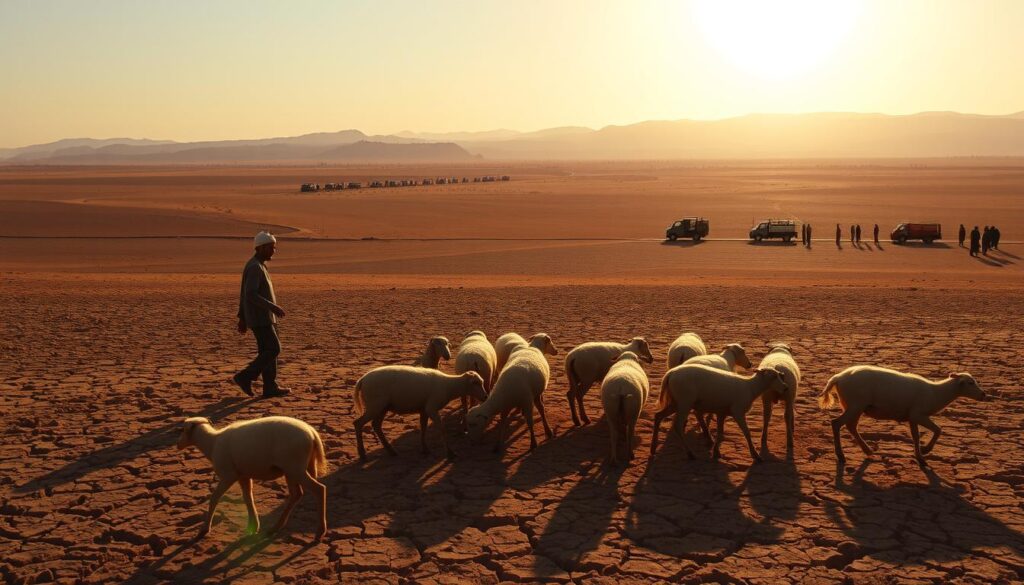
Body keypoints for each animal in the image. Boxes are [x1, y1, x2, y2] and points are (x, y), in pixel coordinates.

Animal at [176, 413, 325, 540]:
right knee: (296, 494)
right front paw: (253, 527)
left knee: (319, 489)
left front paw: (204, 529)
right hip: (294, 469)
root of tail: (311, 432)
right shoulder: (243, 476)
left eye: (182, 430)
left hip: (295, 468)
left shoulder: (229, 475)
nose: (177, 445)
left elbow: (214, 498)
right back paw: (275, 528)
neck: (211, 443)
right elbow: (248, 498)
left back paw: (319, 532)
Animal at [354, 366, 485, 463]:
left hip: (382, 407)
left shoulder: (424, 409)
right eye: (475, 382)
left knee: (376, 425)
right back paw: (362, 454)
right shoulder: (431, 407)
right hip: (375, 405)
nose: (485, 396)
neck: (450, 386)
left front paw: (425, 449)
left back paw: (391, 451)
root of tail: (362, 380)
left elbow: (423, 427)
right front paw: (450, 453)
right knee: (358, 423)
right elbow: (441, 429)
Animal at [651, 366, 786, 463]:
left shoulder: (722, 413)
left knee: (658, 416)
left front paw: (716, 452)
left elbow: (720, 432)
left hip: (675, 402)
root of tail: (670, 374)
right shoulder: (738, 411)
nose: (785, 388)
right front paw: (756, 455)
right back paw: (690, 454)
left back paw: (653, 448)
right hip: (684, 402)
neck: (751, 388)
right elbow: (747, 432)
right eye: (774, 376)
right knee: (677, 426)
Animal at [815, 366, 983, 467]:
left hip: (855, 406)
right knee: (836, 423)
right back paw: (841, 455)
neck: (936, 393)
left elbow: (916, 436)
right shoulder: (918, 414)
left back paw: (867, 450)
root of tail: (837, 377)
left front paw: (920, 456)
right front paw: (925, 451)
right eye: (970, 383)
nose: (984, 395)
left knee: (851, 426)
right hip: (855, 405)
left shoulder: (912, 417)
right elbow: (938, 429)